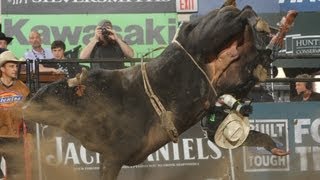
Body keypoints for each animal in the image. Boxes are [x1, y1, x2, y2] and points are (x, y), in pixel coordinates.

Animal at [25, 5, 274, 180]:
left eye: (52, 92)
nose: (25, 106)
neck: (92, 100)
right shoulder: (109, 157)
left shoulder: (114, 155)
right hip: (234, 70)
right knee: (249, 53)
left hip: (215, 31)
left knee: (243, 14)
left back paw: (264, 28)